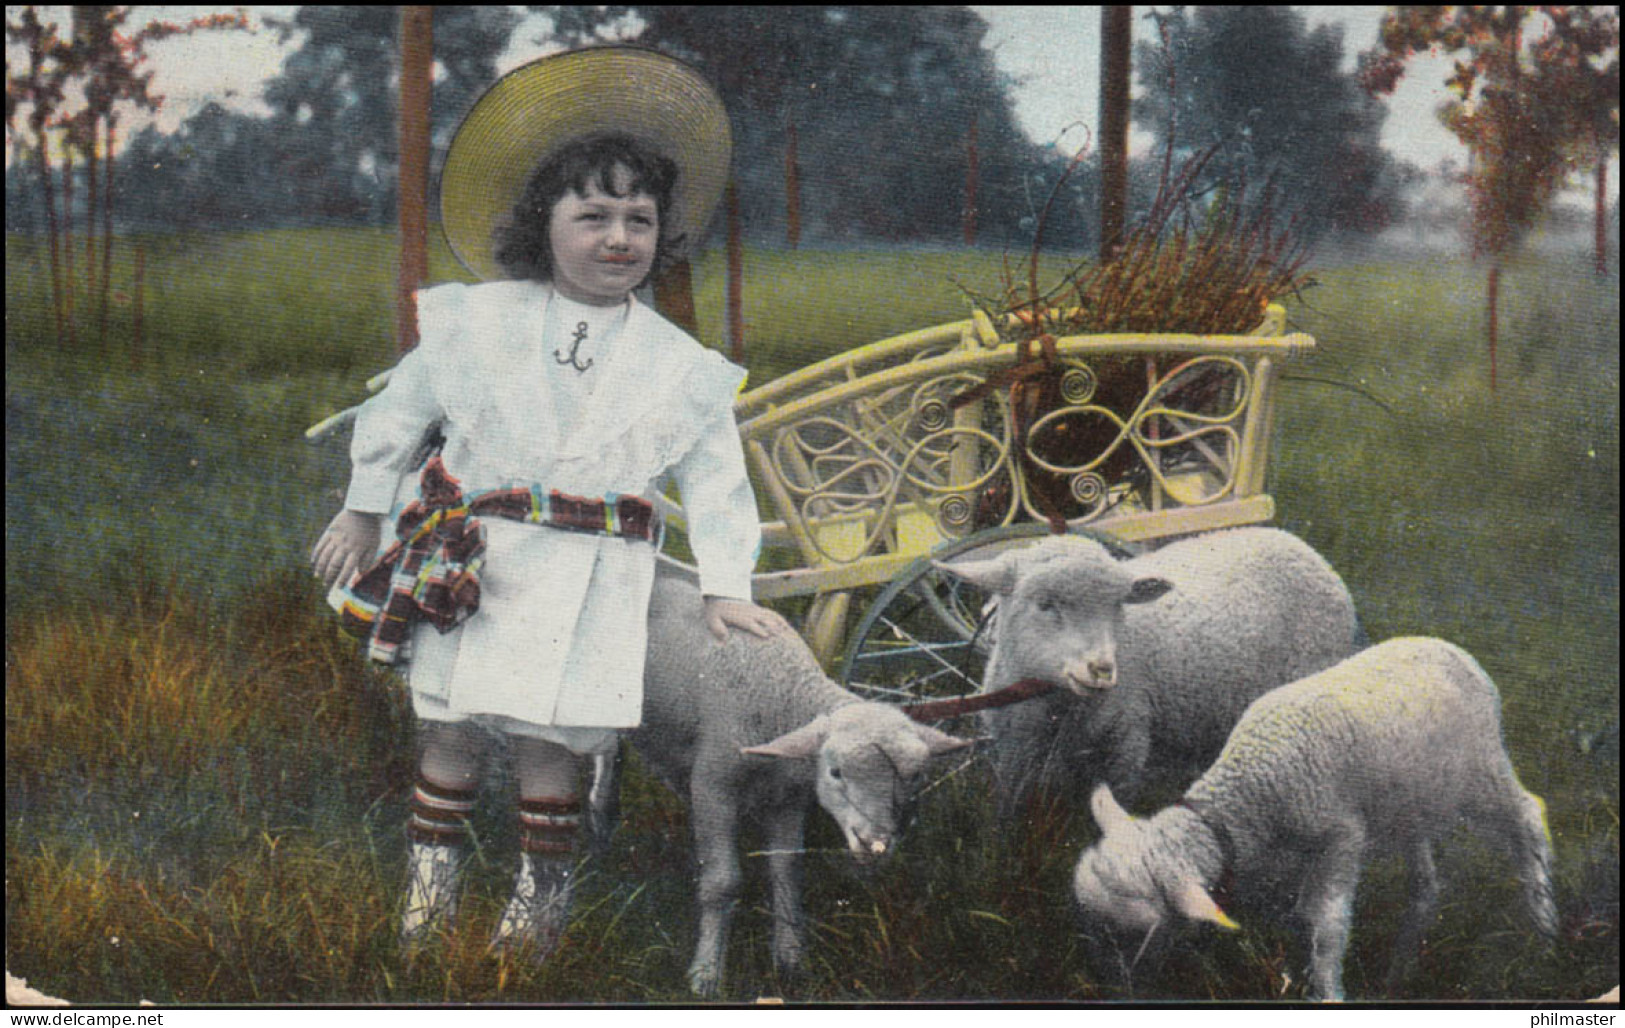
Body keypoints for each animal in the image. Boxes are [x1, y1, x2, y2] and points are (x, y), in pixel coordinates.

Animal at [620, 568, 968, 993]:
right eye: (835, 772)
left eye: (916, 776)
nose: (876, 844)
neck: (781, 694)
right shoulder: (714, 786)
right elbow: (723, 882)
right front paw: (706, 972)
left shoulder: (787, 798)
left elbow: (786, 871)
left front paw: (789, 958)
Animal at [942, 526, 1358, 815]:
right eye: (1045, 604)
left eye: (1118, 606)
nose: (1102, 669)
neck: (1053, 706)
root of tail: (1297, 543)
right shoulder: (1014, 752)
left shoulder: (1127, 743)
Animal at [1072, 636, 1553, 1000]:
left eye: (1132, 933)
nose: (1107, 989)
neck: (1251, 787)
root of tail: (1453, 649)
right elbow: (1300, 912)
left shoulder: (1341, 837)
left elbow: (1328, 921)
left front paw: (1327, 989)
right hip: (1409, 796)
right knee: (1425, 871)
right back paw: (1405, 952)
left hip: (1481, 769)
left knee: (1528, 814)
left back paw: (1544, 920)